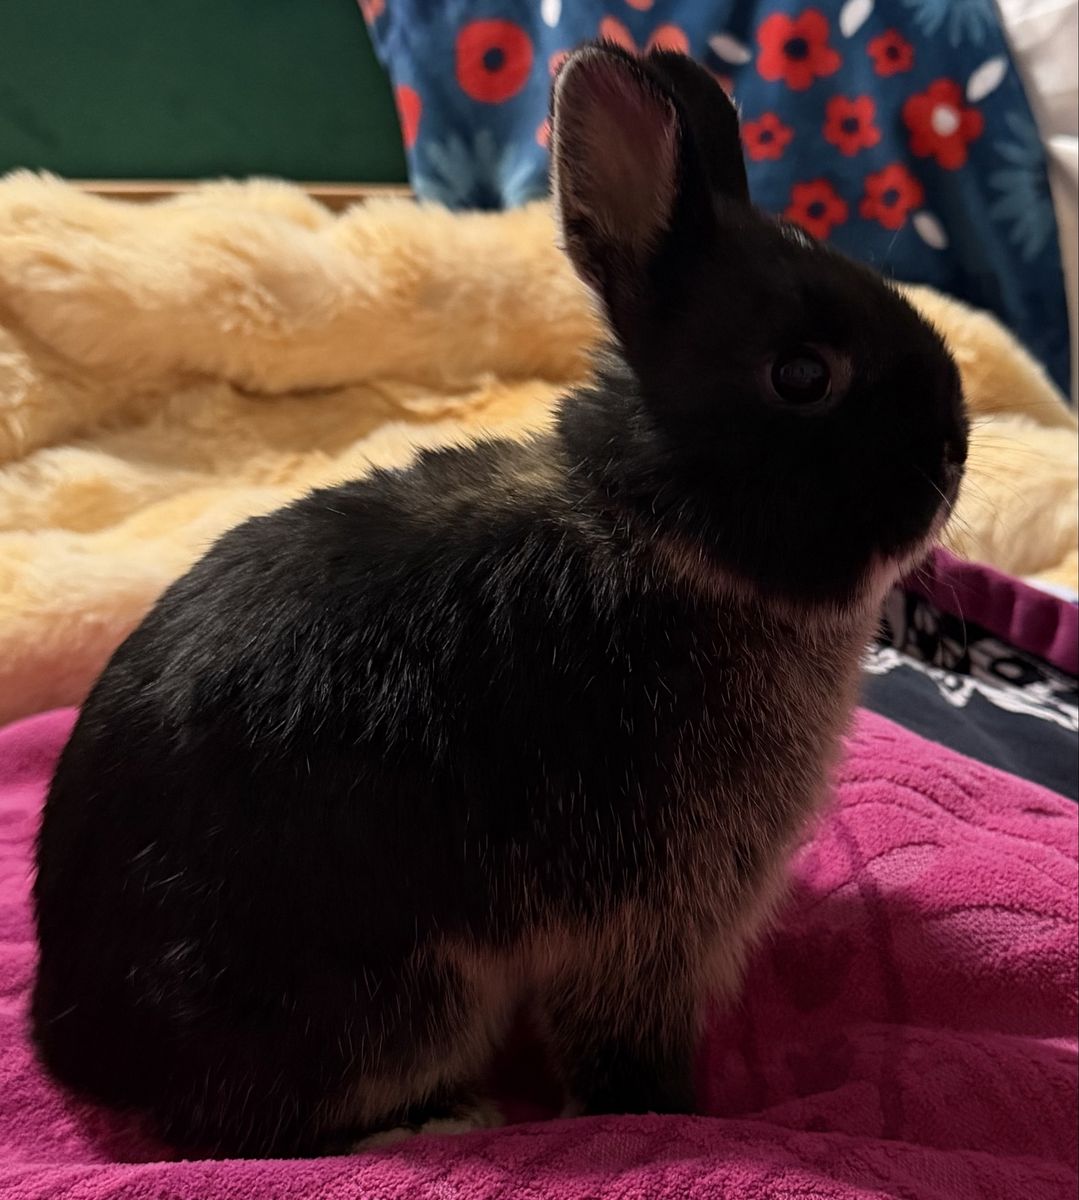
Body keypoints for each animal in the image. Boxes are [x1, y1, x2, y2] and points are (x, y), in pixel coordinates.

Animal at [32, 42, 967, 1158]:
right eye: (800, 375)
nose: (952, 454)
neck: (654, 529)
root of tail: (75, 1042)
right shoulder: (646, 920)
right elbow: (622, 1051)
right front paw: (668, 1111)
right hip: (399, 996)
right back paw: (441, 1122)